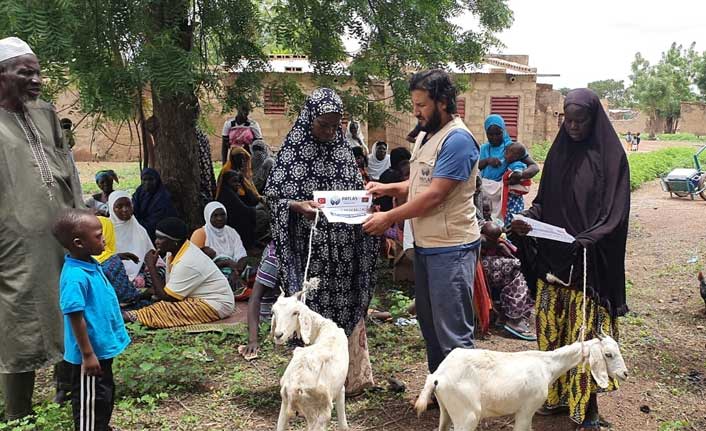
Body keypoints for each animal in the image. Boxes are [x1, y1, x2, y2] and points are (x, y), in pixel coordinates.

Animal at [270, 286, 350, 430]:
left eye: (295, 312)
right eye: (273, 311)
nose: (278, 335)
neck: (323, 328)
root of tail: (296, 385)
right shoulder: (340, 389)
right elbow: (343, 425)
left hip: (285, 405)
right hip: (319, 413)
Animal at [412, 338, 628, 431]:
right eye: (608, 354)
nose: (624, 374)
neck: (547, 366)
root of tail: (437, 376)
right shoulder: (527, 408)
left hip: (446, 410)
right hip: (467, 415)